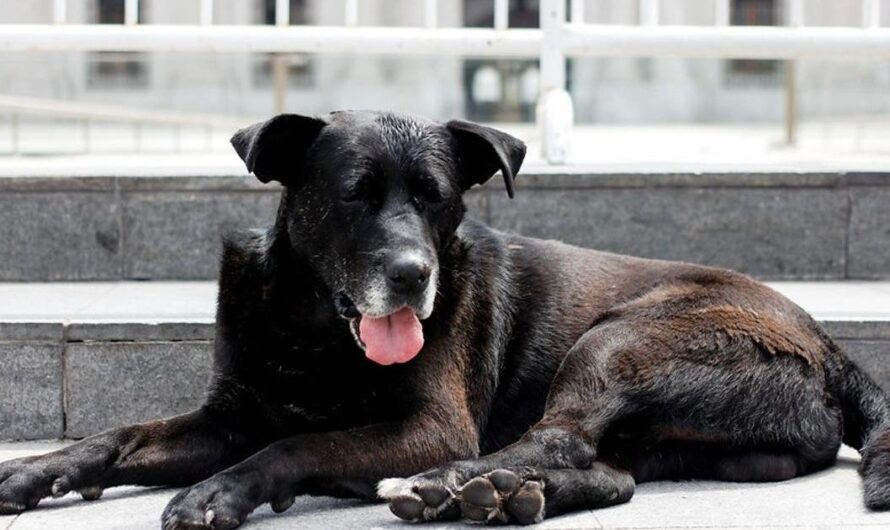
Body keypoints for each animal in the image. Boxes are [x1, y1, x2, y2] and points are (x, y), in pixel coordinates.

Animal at [1, 110, 888, 524]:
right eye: (353, 195)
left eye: (439, 199)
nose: (411, 275)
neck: (313, 330)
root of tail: (831, 347)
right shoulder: (230, 414)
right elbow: (118, 436)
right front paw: (37, 470)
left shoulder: (431, 425)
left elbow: (298, 443)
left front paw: (222, 491)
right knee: (610, 475)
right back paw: (499, 497)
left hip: (619, 341)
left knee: (556, 439)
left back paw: (449, 489)